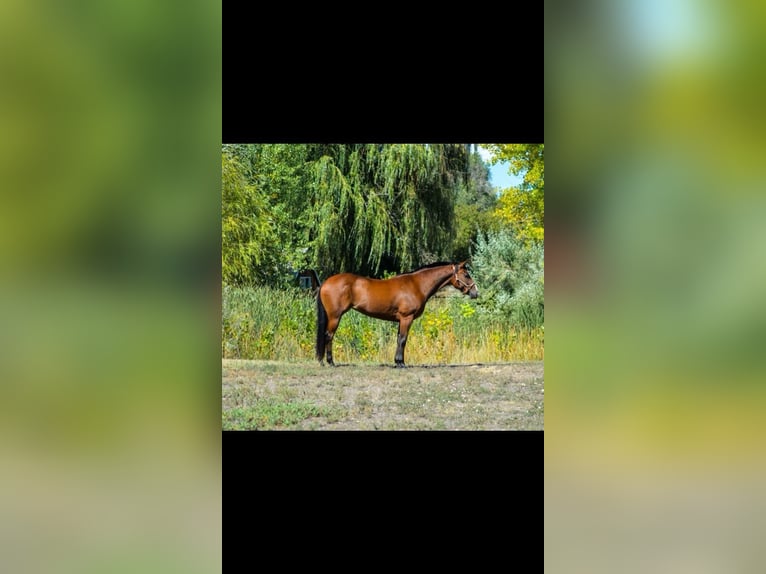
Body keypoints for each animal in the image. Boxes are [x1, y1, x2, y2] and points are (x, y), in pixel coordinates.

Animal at [316, 262, 476, 368]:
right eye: (466, 275)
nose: (475, 292)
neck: (417, 284)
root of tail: (325, 283)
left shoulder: (400, 320)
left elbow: (398, 339)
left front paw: (398, 361)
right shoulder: (406, 318)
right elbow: (403, 339)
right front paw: (401, 363)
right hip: (335, 316)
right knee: (329, 336)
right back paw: (329, 362)